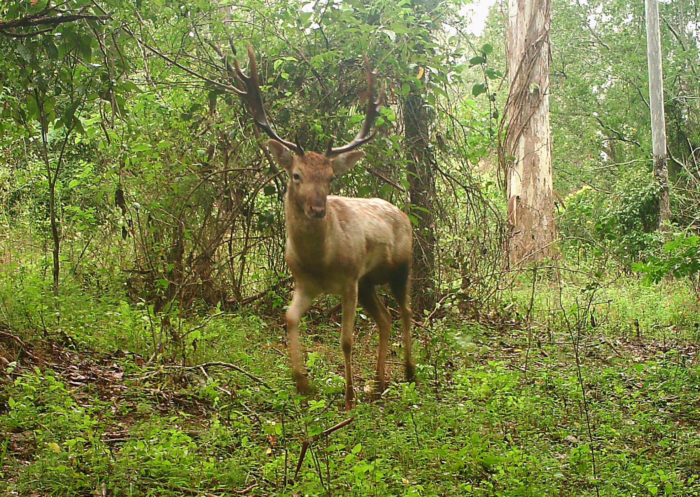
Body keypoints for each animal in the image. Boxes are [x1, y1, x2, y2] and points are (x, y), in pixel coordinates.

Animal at [230, 45, 416, 410]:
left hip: (401, 267)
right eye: (296, 175)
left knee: (405, 310)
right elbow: (289, 318)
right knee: (385, 318)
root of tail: (403, 214)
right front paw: (303, 383)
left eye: (331, 178)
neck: (321, 261)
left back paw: (409, 371)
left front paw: (348, 396)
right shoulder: (305, 283)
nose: (318, 209)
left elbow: (345, 340)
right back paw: (378, 382)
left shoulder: (349, 280)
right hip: (369, 282)